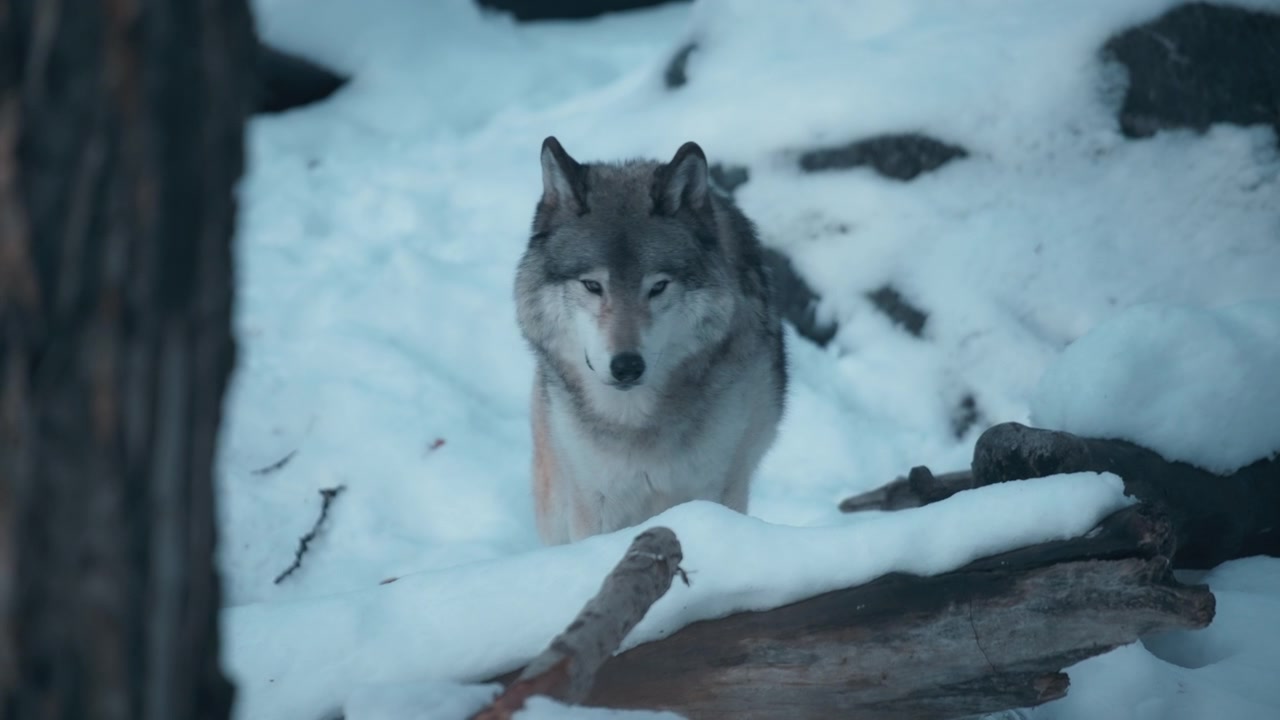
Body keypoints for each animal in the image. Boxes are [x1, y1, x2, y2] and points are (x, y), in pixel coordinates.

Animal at [515, 136, 788, 545]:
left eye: (658, 287)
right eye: (592, 285)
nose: (627, 366)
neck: (634, 420)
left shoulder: (713, 487)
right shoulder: (595, 503)